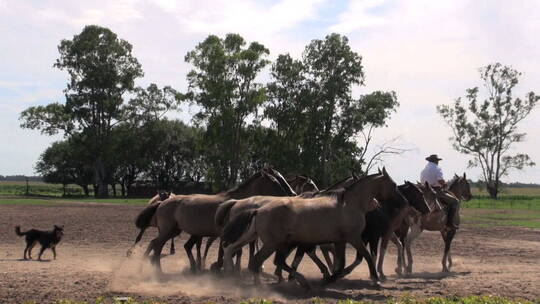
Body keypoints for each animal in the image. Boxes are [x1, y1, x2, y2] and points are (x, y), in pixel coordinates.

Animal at [135, 166, 296, 274]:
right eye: (275, 181)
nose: (293, 194)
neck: (237, 202)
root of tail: (162, 202)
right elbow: (231, 251)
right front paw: (221, 266)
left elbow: (234, 251)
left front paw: (223, 267)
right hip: (168, 231)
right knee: (157, 245)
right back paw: (158, 270)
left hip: (174, 231)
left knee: (156, 244)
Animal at [221, 169, 402, 290]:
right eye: (393, 185)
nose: (402, 201)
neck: (350, 204)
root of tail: (259, 210)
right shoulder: (354, 238)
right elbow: (366, 257)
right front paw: (375, 279)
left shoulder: (340, 241)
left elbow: (341, 263)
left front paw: (329, 278)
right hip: (272, 244)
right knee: (257, 261)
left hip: (259, 238)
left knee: (255, 257)